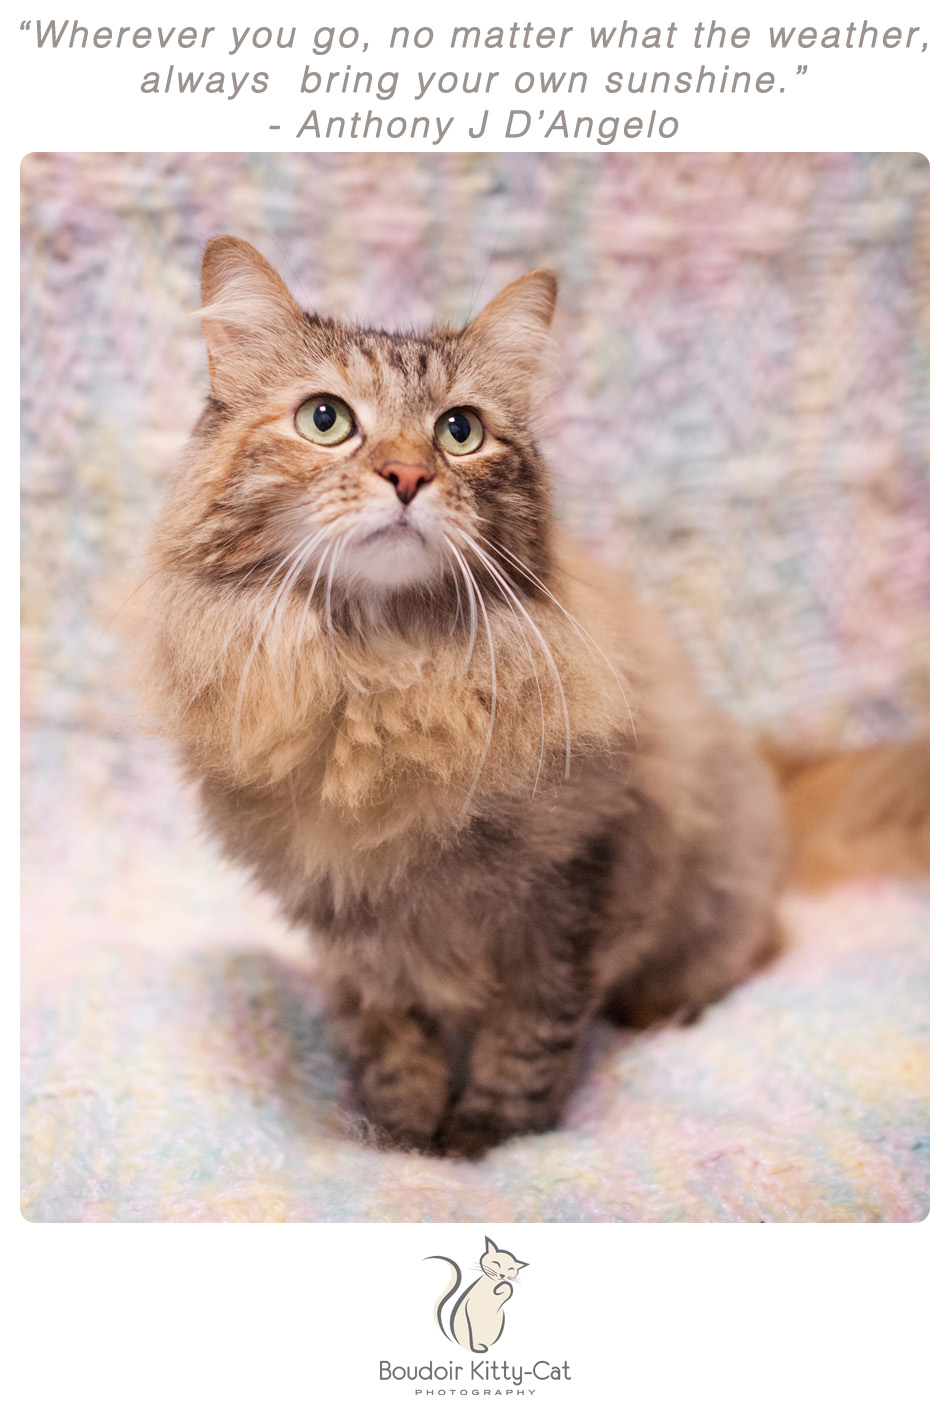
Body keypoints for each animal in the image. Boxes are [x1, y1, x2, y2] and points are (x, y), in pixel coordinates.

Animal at [133, 241, 785, 1156]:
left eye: (460, 430)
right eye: (325, 419)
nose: (407, 475)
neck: (384, 678)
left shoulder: (572, 886)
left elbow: (528, 1035)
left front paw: (489, 1139)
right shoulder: (350, 919)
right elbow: (390, 1035)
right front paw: (400, 1133)